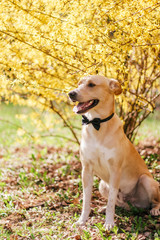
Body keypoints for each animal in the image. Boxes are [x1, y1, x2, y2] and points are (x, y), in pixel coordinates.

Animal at [69, 75, 160, 231]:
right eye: (79, 83)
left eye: (91, 85)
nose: (71, 93)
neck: (97, 124)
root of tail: (133, 205)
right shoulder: (86, 170)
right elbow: (86, 200)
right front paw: (82, 220)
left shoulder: (115, 170)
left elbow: (111, 202)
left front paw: (109, 223)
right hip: (102, 184)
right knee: (119, 204)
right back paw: (104, 208)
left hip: (147, 180)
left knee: (154, 201)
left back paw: (154, 209)